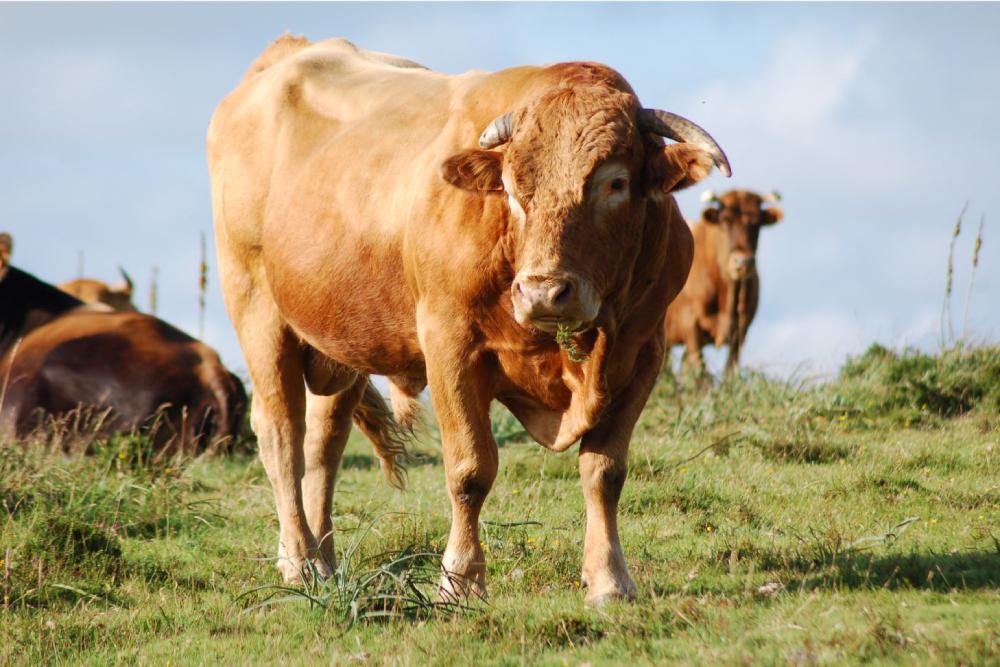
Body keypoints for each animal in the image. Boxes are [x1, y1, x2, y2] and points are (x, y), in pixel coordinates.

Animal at [207, 35, 732, 604]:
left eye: (615, 183)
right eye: (511, 187)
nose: (543, 290)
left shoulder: (642, 352)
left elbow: (604, 470)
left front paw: (610, 579)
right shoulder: (449, 343)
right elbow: (470, 468)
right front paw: (459, 579)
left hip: (339, 341)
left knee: (323, 444)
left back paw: (324, 561)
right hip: (258, 309)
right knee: (281, 435)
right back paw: (299, 562)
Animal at [668, 190, 784, 374]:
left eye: (758, 223)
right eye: (724, 221)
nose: (743, 262)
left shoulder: (741, 331)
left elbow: (729, 370)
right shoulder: (690, 325)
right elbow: (700, 372)